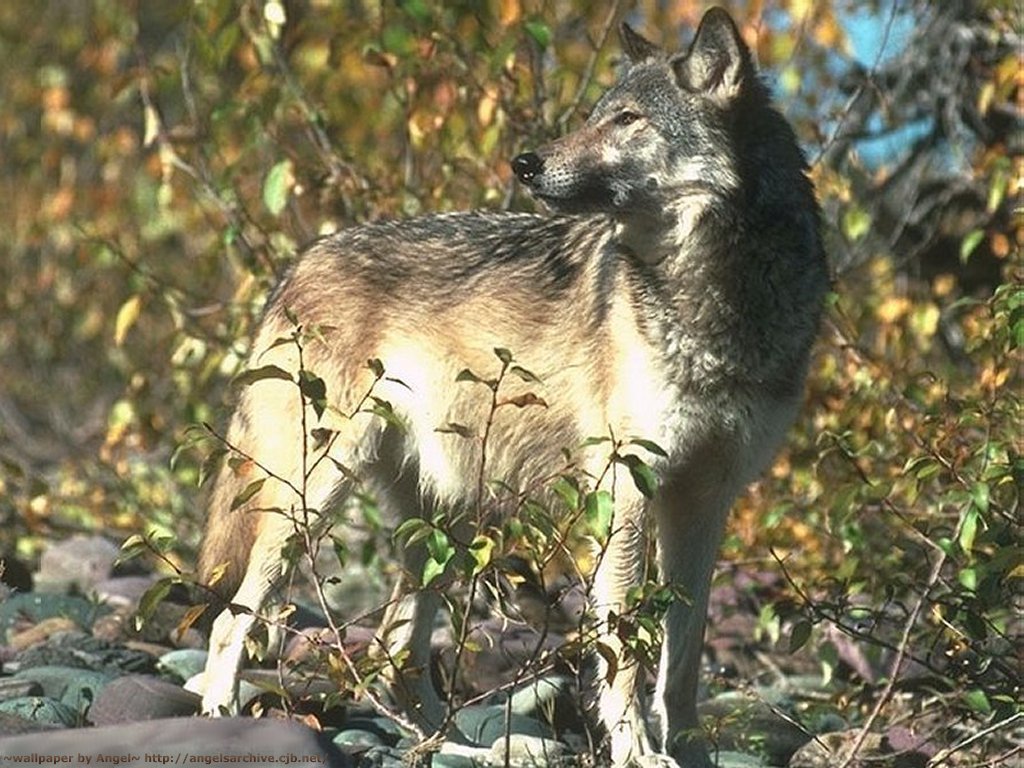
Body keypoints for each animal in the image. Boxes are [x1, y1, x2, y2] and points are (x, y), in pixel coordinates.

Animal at [195, 7, 827, 768]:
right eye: (595, 116)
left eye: (627, 120)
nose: (526, 163)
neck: (717, 294)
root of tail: (296, 264)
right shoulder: (627, 486)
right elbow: (623, 647)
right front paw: (637, 751)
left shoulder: (706, 499)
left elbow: (683, 656)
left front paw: (688, 752)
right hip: (314, 495)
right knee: (233, 621)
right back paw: (220, 715)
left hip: (446, 519)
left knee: (397, 654)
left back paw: (460, 746)